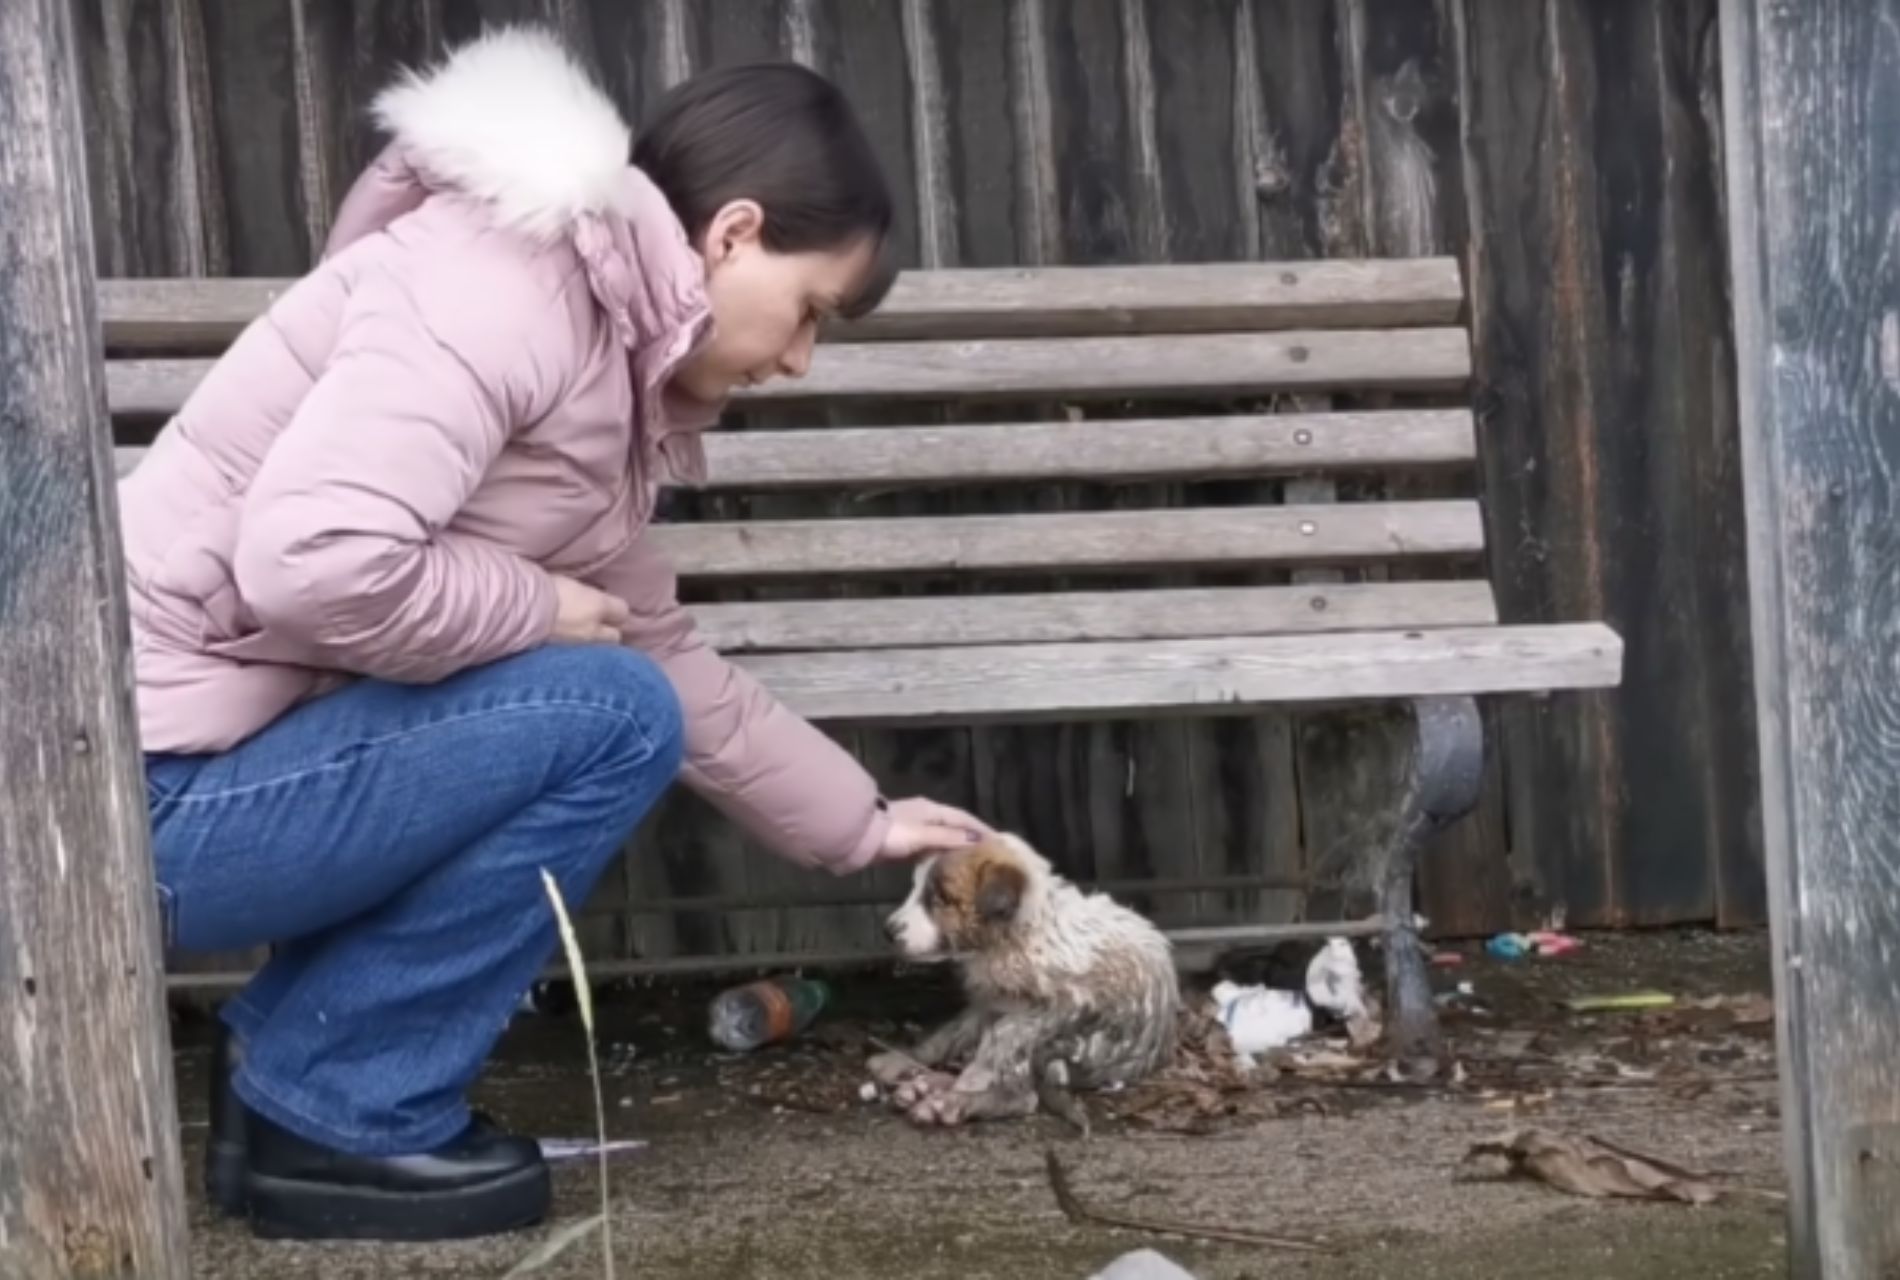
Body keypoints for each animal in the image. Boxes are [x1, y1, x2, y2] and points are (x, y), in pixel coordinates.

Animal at [870, 835, 1178, 1124]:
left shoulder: (1047, 1006)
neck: (1017, 933)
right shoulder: (988, 1001)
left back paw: (947, 1102)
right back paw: (928, 1085)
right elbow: (946, 1035)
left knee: (1021, 1095)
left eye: (940, 899)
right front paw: (899, 1058)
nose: (887, 931)